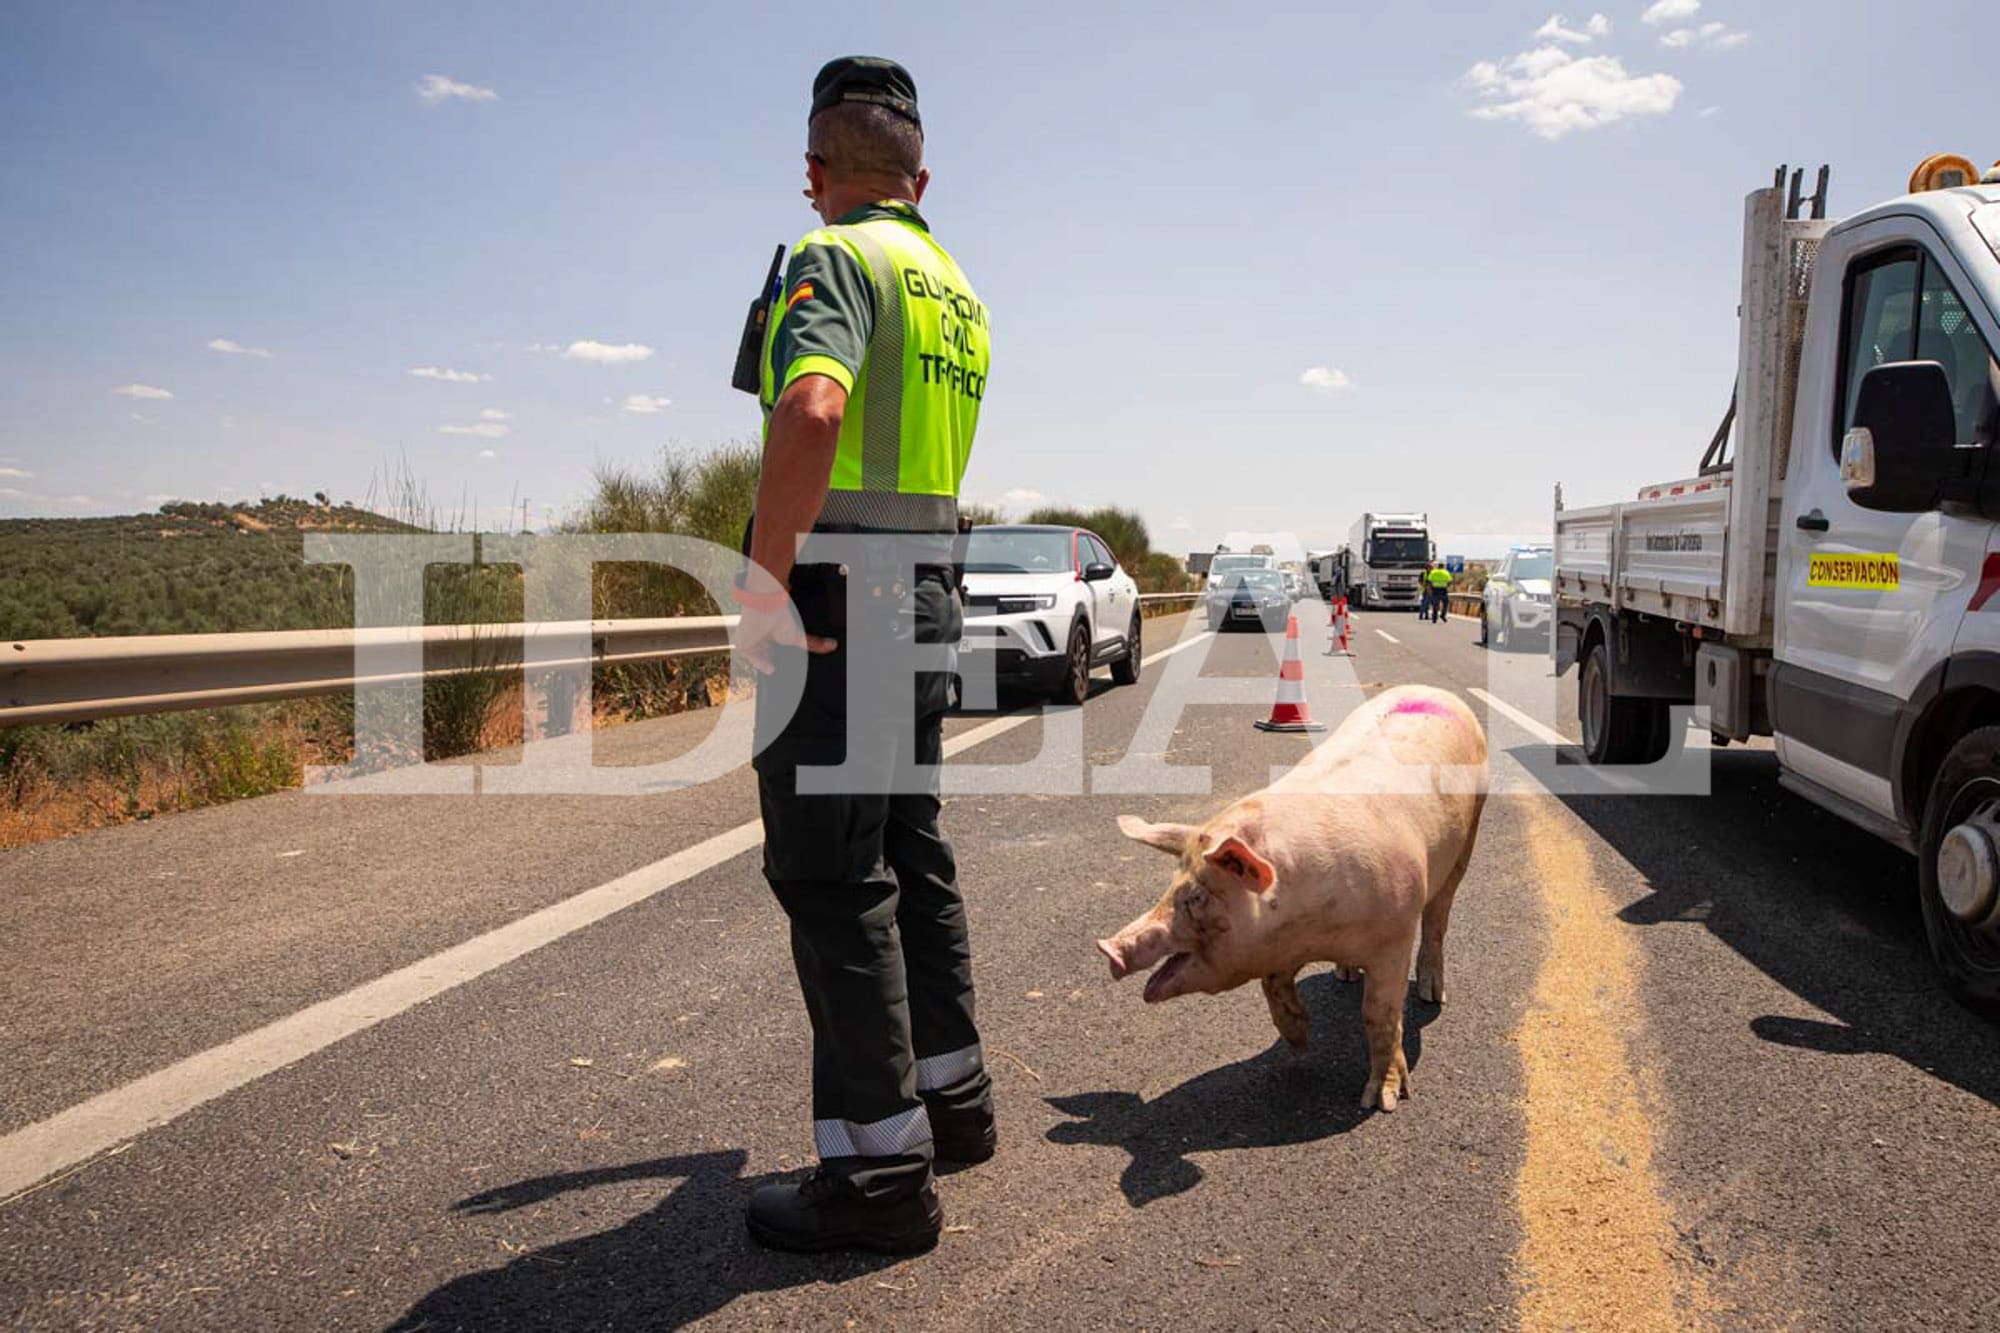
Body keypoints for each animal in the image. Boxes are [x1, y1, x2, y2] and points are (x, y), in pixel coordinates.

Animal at [1096, 680, 1488, 1104]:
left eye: (1197, 896)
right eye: (1170, 886)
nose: (1108, 948)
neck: (1310, 929)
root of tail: (1433, 690)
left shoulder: (1395, 935)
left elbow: (1379, 1013)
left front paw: (1381, 1101)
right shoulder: (1279, 944)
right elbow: (1273, 986)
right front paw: (1300, 1043)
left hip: (1468, 835)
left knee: (1438, 917)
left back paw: (1432, 994)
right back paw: (1344, 976)